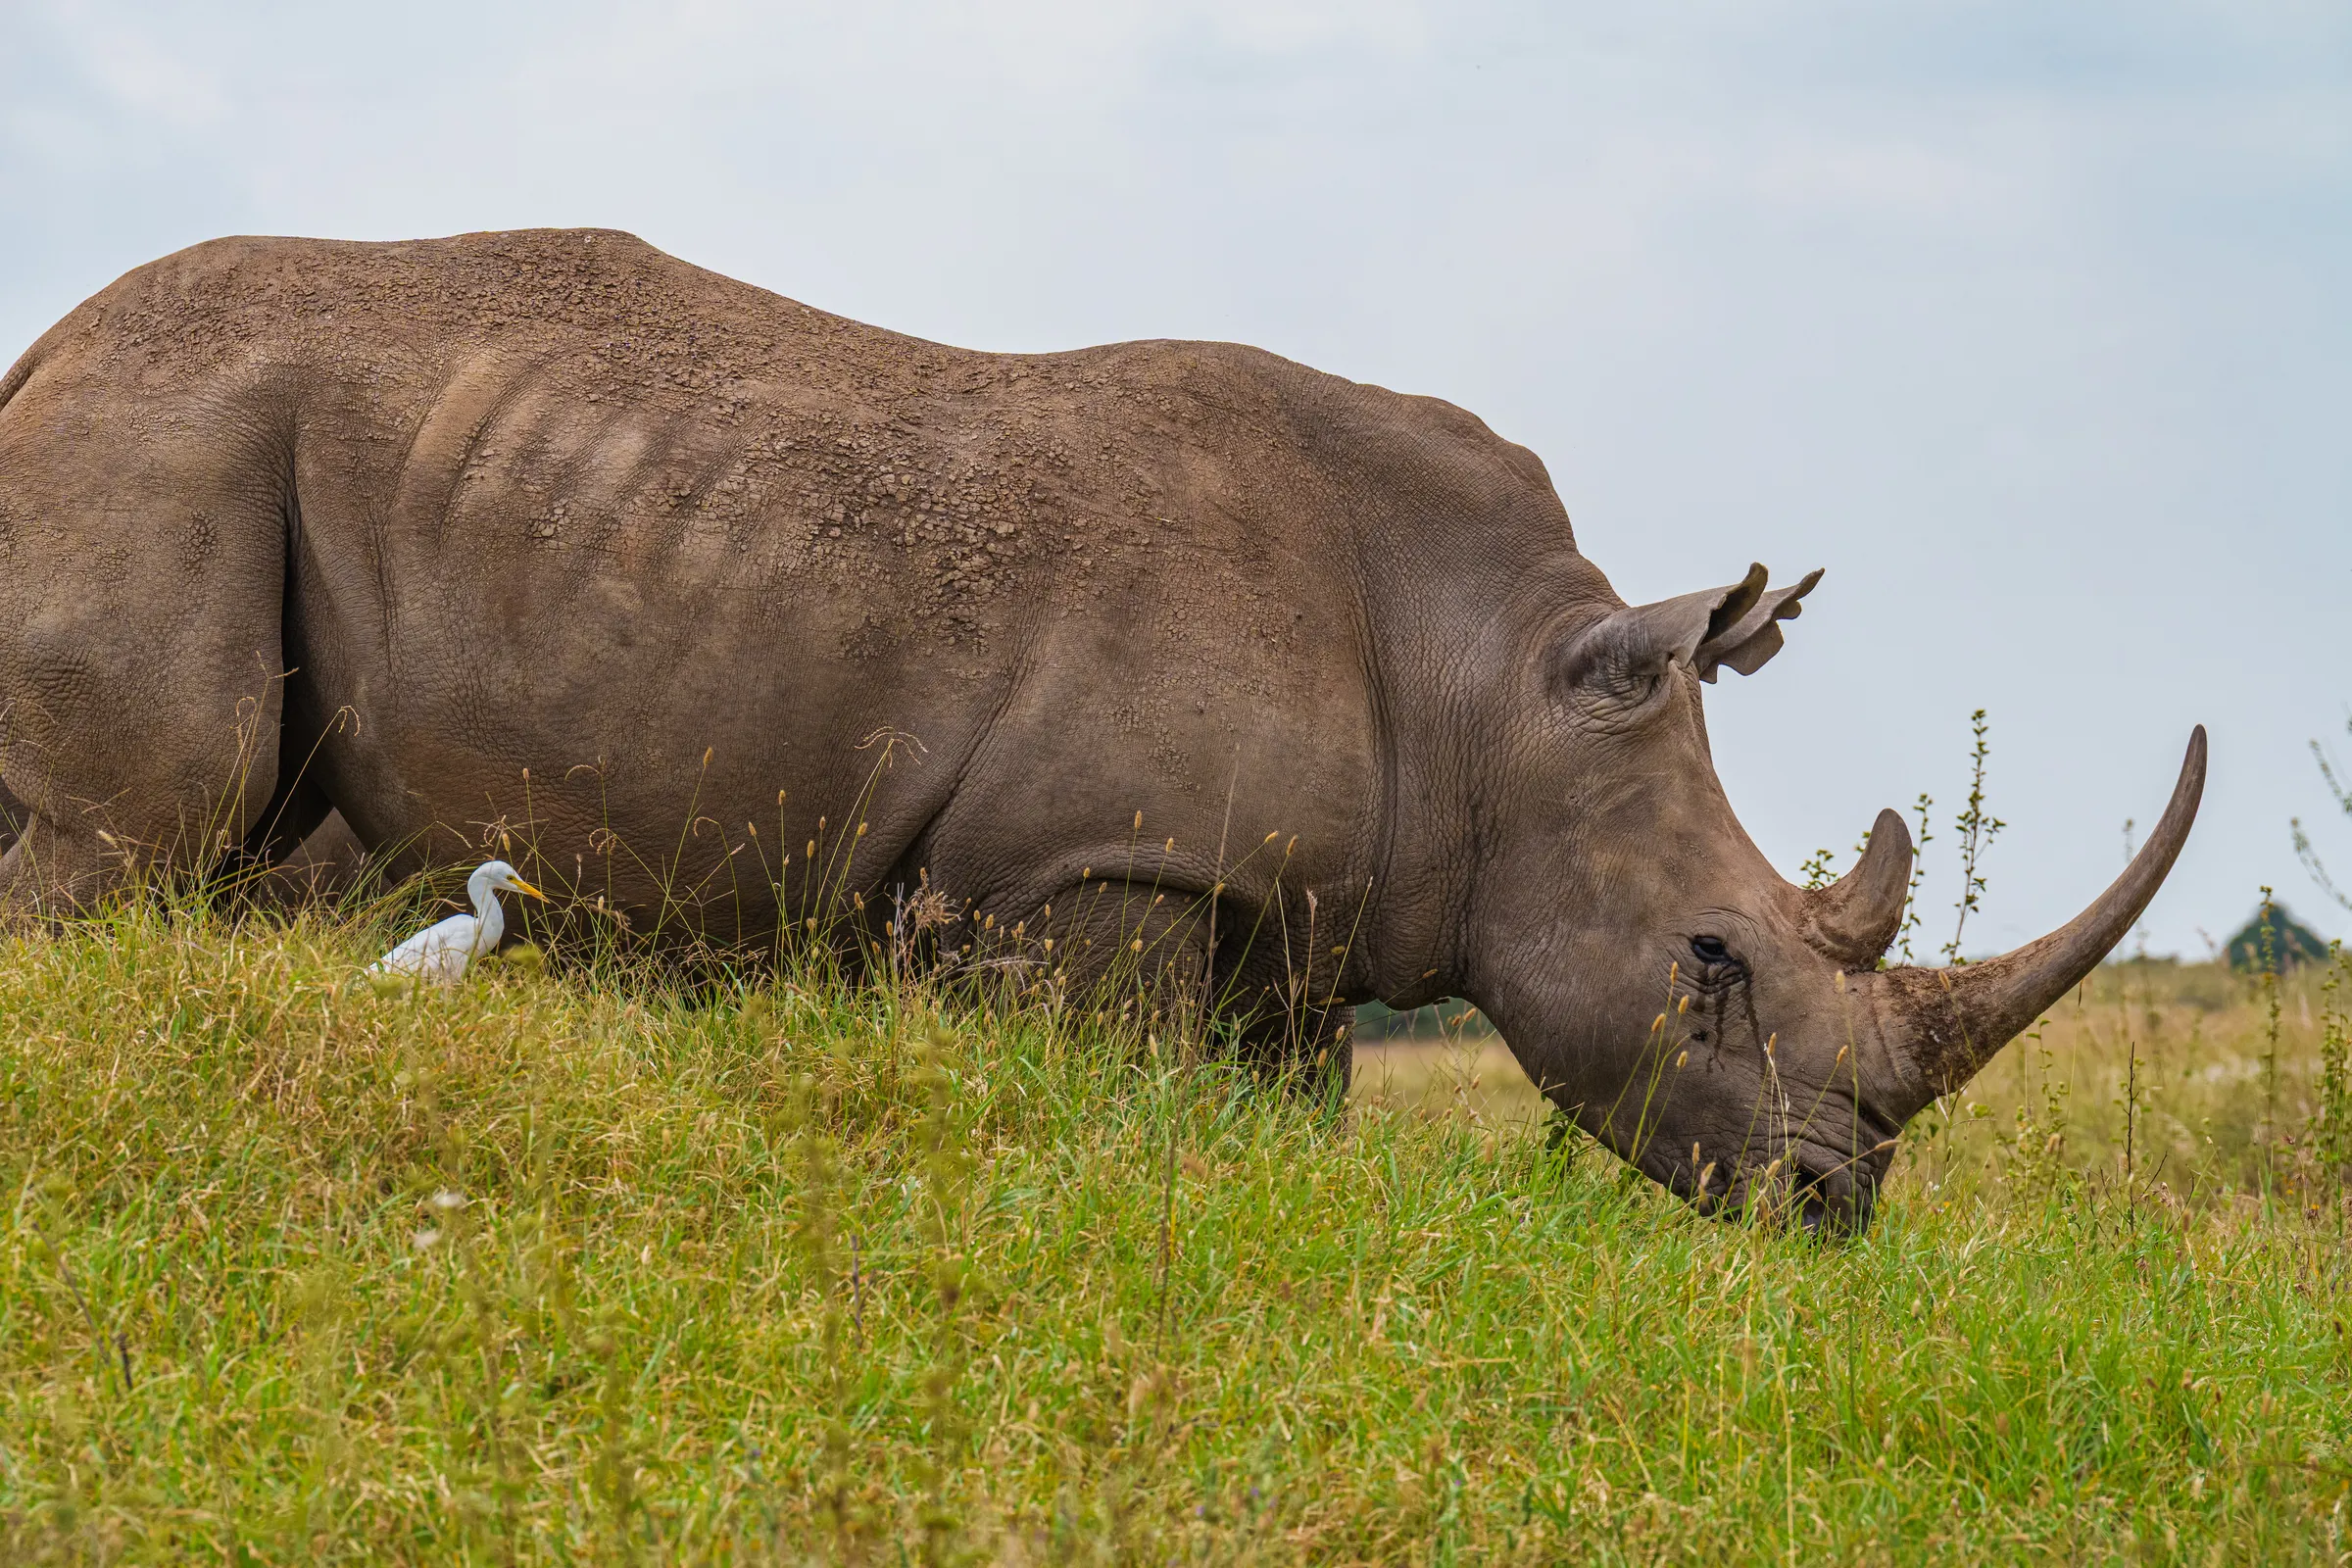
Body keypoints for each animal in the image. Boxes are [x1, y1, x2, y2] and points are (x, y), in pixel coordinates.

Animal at [0, 229, 2202, 1228]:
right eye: (1714, 960)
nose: (1836, 1211)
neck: (1496, 681)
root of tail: (43, 350)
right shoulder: (1088, 868)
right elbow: (1112, 1105)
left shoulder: (1287, 910)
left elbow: (1277, 1109)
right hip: (162, 438)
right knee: (130, 840)